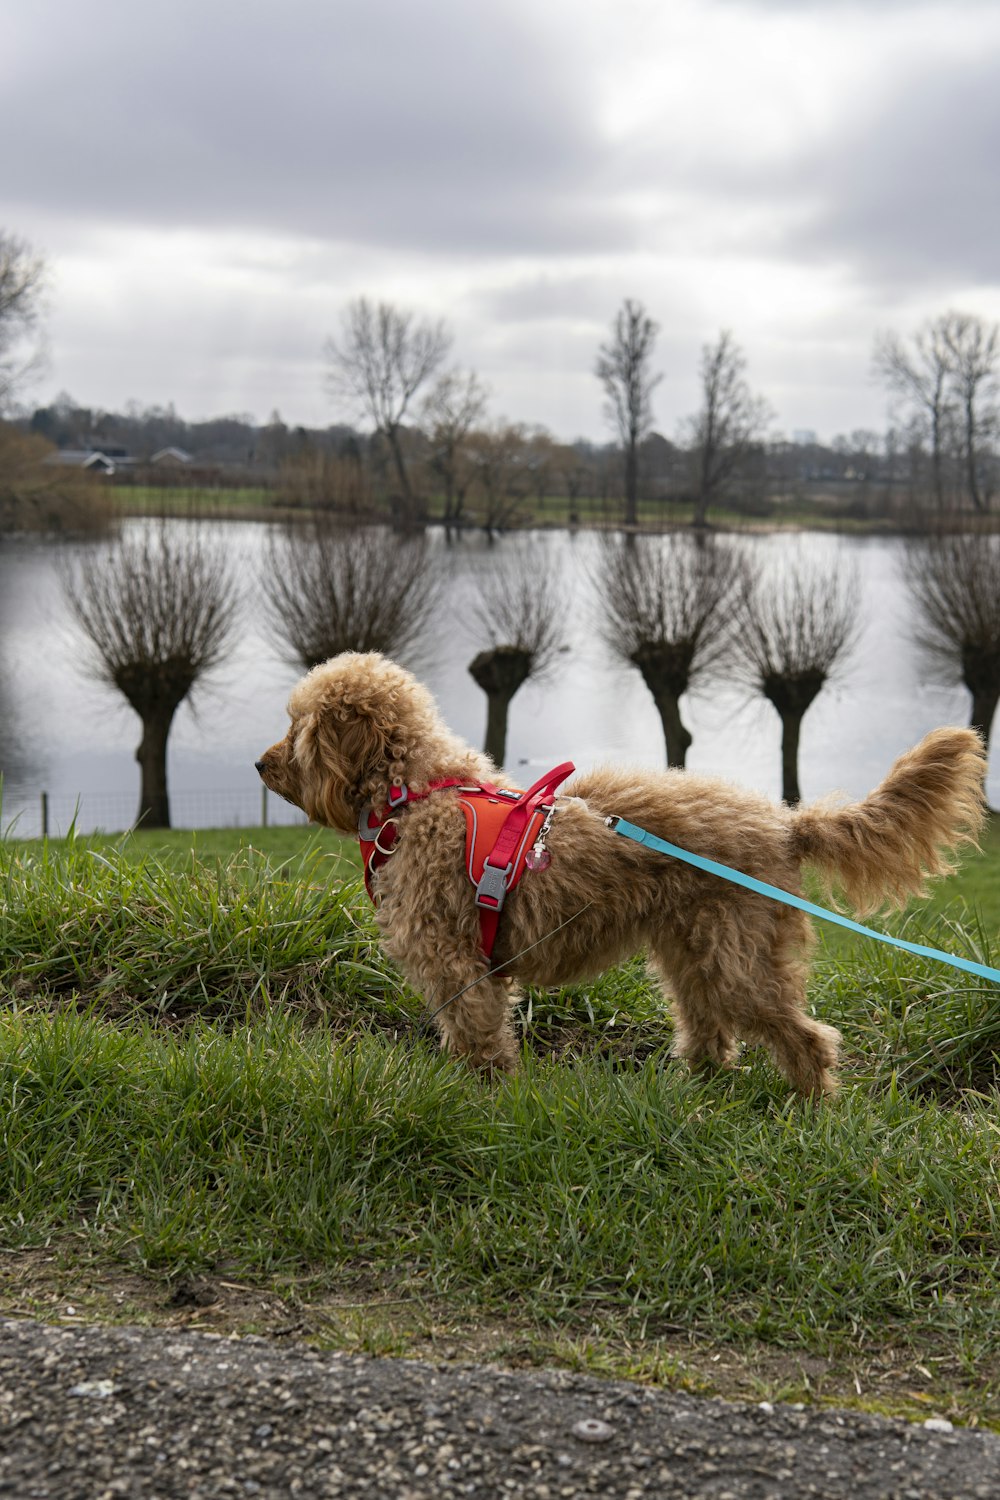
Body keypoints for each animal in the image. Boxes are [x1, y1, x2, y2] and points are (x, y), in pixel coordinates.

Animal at [256, 651, 983, 1098]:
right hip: (696, 951)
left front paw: (478, 1095)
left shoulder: (454, 961)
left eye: (298, 727)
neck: (418, 796)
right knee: (712, 1032)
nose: (260, 765)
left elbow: (477, 1035)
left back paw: (811, 1106)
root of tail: (786, 824)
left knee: (805, 1036)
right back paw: (694, 1088)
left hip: (736, 958)